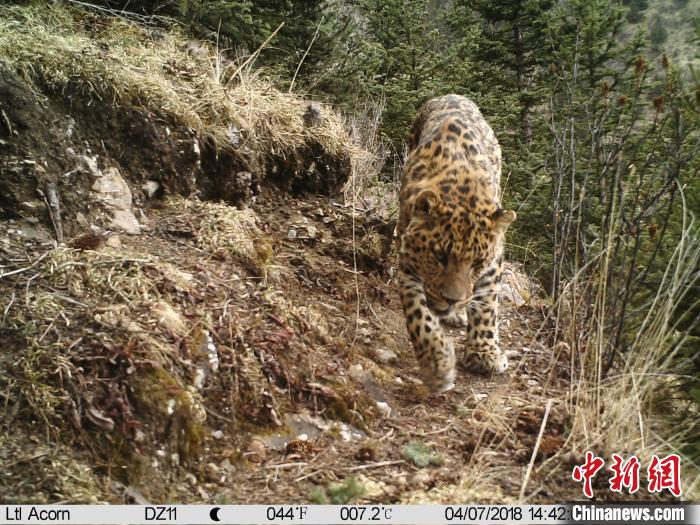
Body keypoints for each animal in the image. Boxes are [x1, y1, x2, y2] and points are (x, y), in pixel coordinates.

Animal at [396, 94, 516, 390]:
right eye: (439, 256)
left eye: (477, 263)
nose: (452, 300)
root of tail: (452, 95)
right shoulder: (407, 259)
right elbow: (418, 313)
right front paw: (436, 363)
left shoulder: (494, 261)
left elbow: (486, 304)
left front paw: (484, 353)